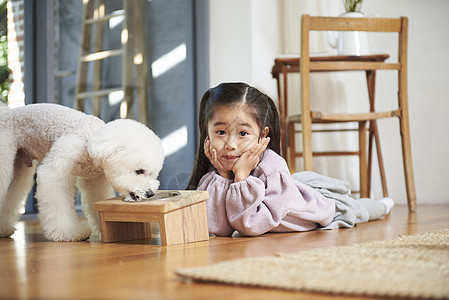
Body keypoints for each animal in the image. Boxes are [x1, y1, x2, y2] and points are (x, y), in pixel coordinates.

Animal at [0, 103, 164, 241]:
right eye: (139, 171)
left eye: (154, 175)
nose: (150, 193)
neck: (90, 143)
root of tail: (4, 115)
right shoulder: (55, 171)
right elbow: (58, 204)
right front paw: (69, 233)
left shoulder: (95, 181)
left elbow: (96, 200)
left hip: (17, 169)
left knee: (10, 196)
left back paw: (4, 229)